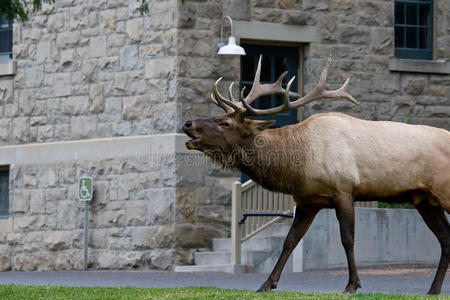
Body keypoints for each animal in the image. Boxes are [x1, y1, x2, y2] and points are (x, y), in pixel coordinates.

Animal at [183, 55, 450, 294]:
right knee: (445, 240)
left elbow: (347, 239)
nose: (187, 124)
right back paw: (433, 290)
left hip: (443, 193)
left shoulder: (344, 190)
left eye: (225, 123)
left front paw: (352, 285)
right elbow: (290, 241)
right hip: (424, 200)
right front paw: (267, 284)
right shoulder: (307, 201)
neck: (298, 165)